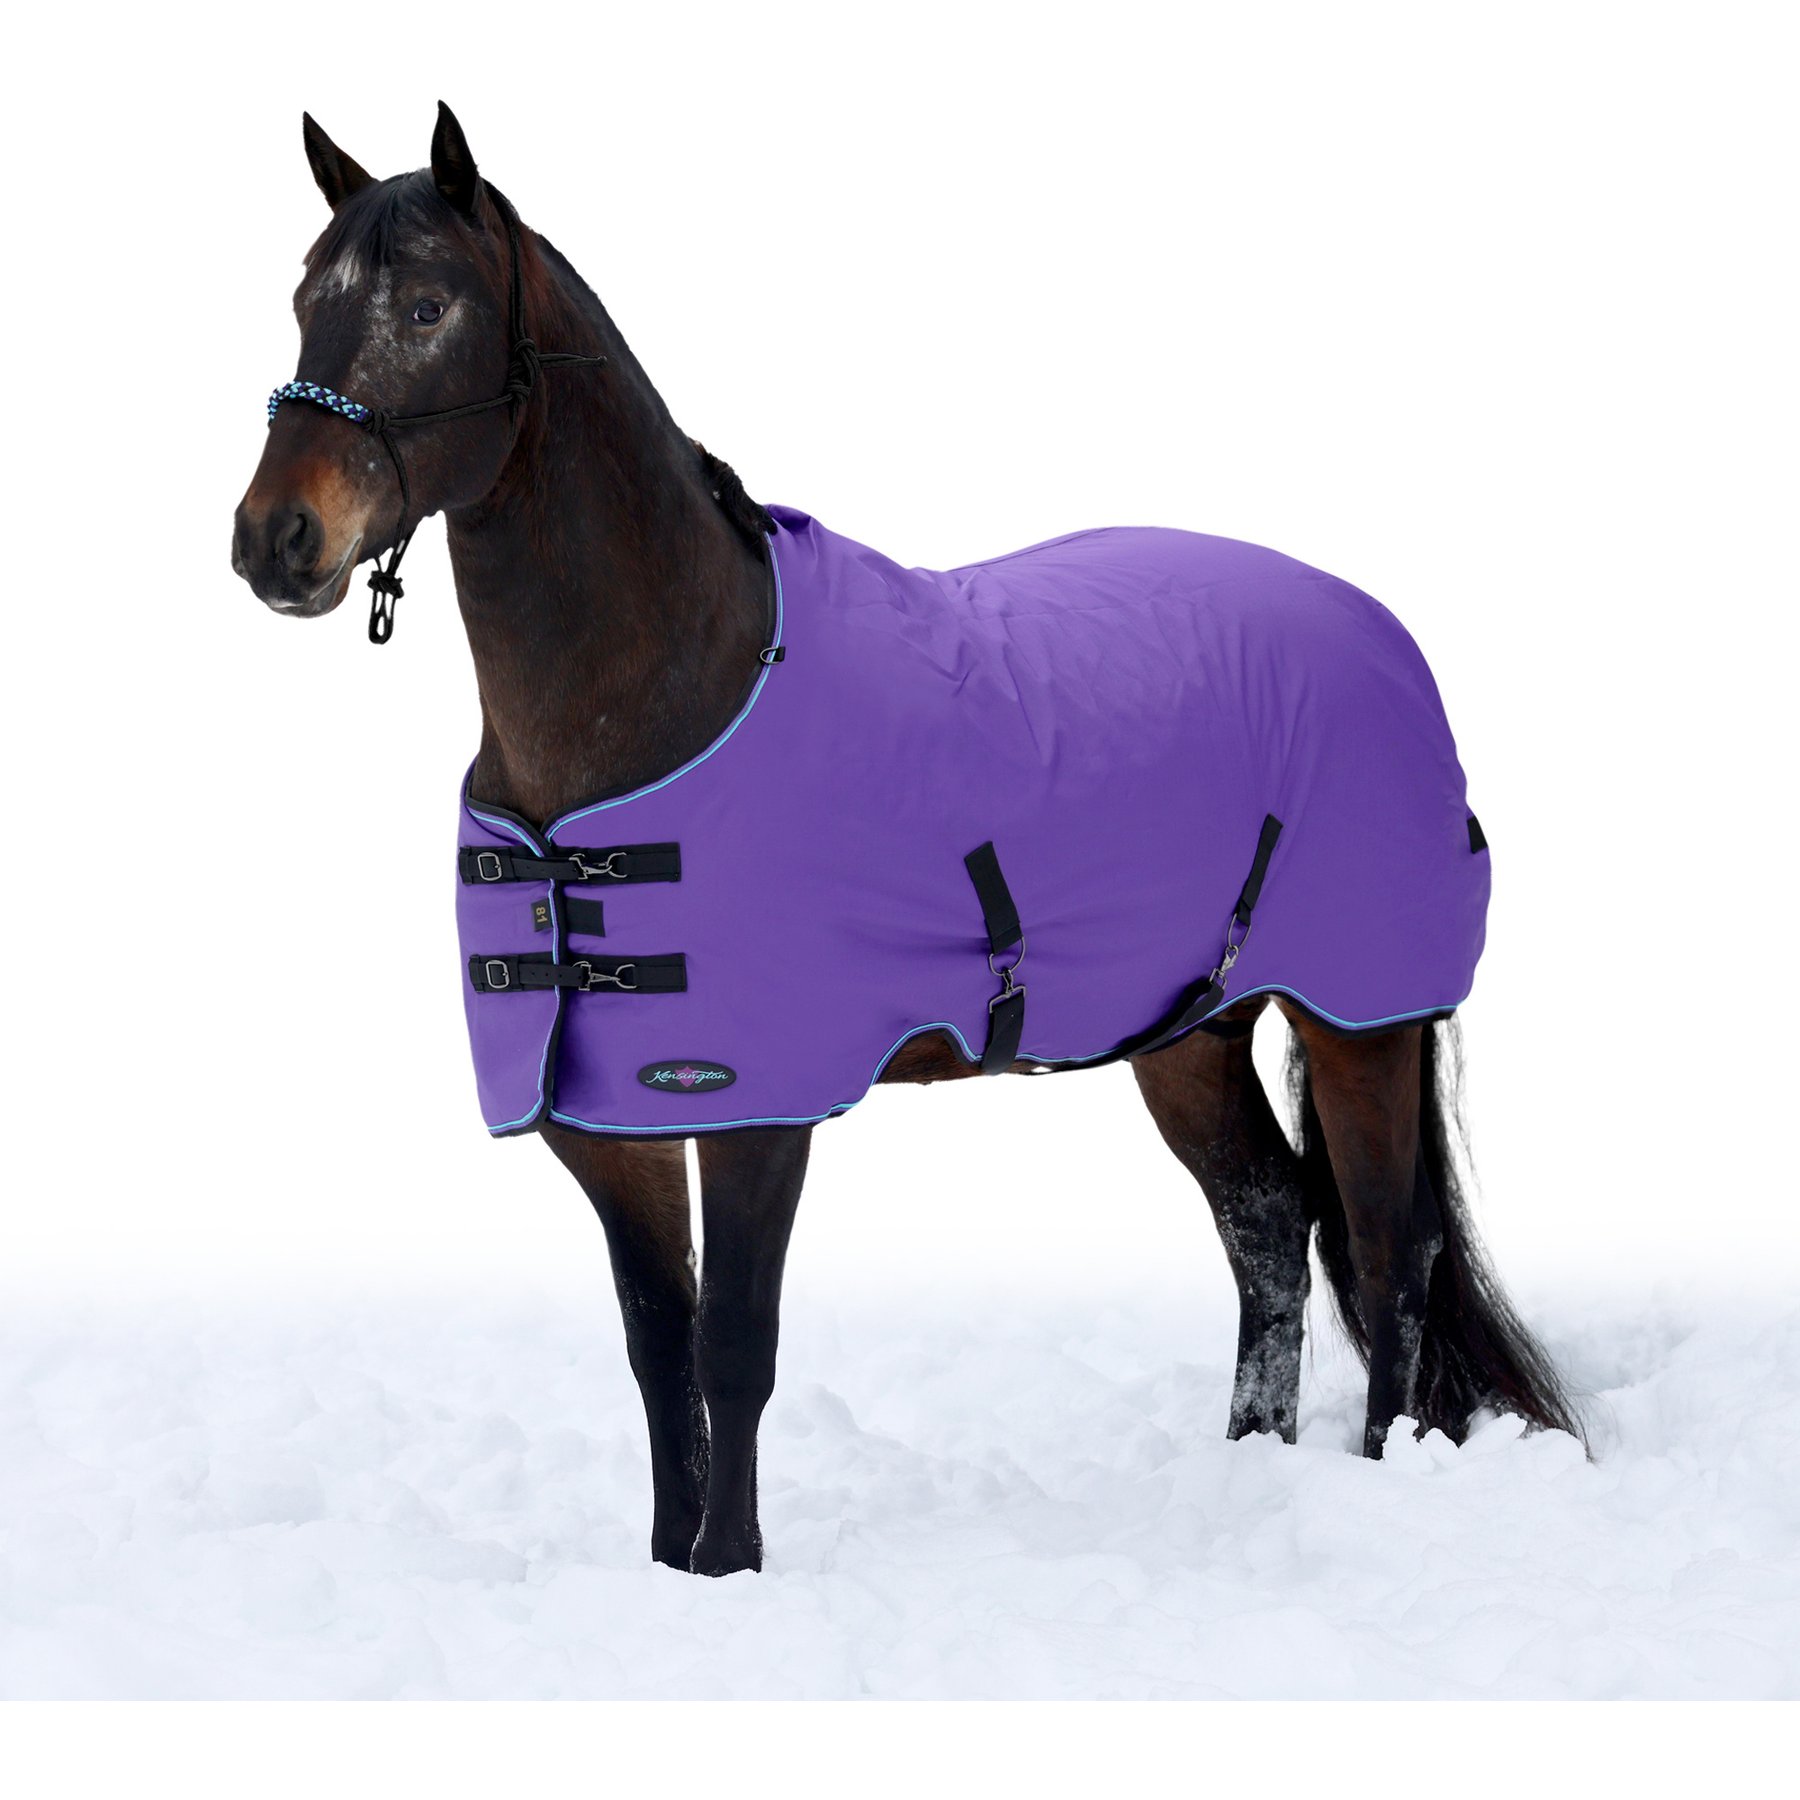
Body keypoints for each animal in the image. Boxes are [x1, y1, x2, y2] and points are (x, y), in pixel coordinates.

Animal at [231, 104, 1580, 1578]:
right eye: (302, 303)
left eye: (428, 307)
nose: (275, 539)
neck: (670, 692)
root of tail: (1379, 629)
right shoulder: (607, 1124)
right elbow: (657, 1350)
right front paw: (667, 1570)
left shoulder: (757, 1106)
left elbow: (732, 1347)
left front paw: (728, 1568)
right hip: (1188, 1035)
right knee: (1272, 1230)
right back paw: (1251, 1465)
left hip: (1360, 1020)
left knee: (1390, 1257)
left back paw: (1382, 1476)